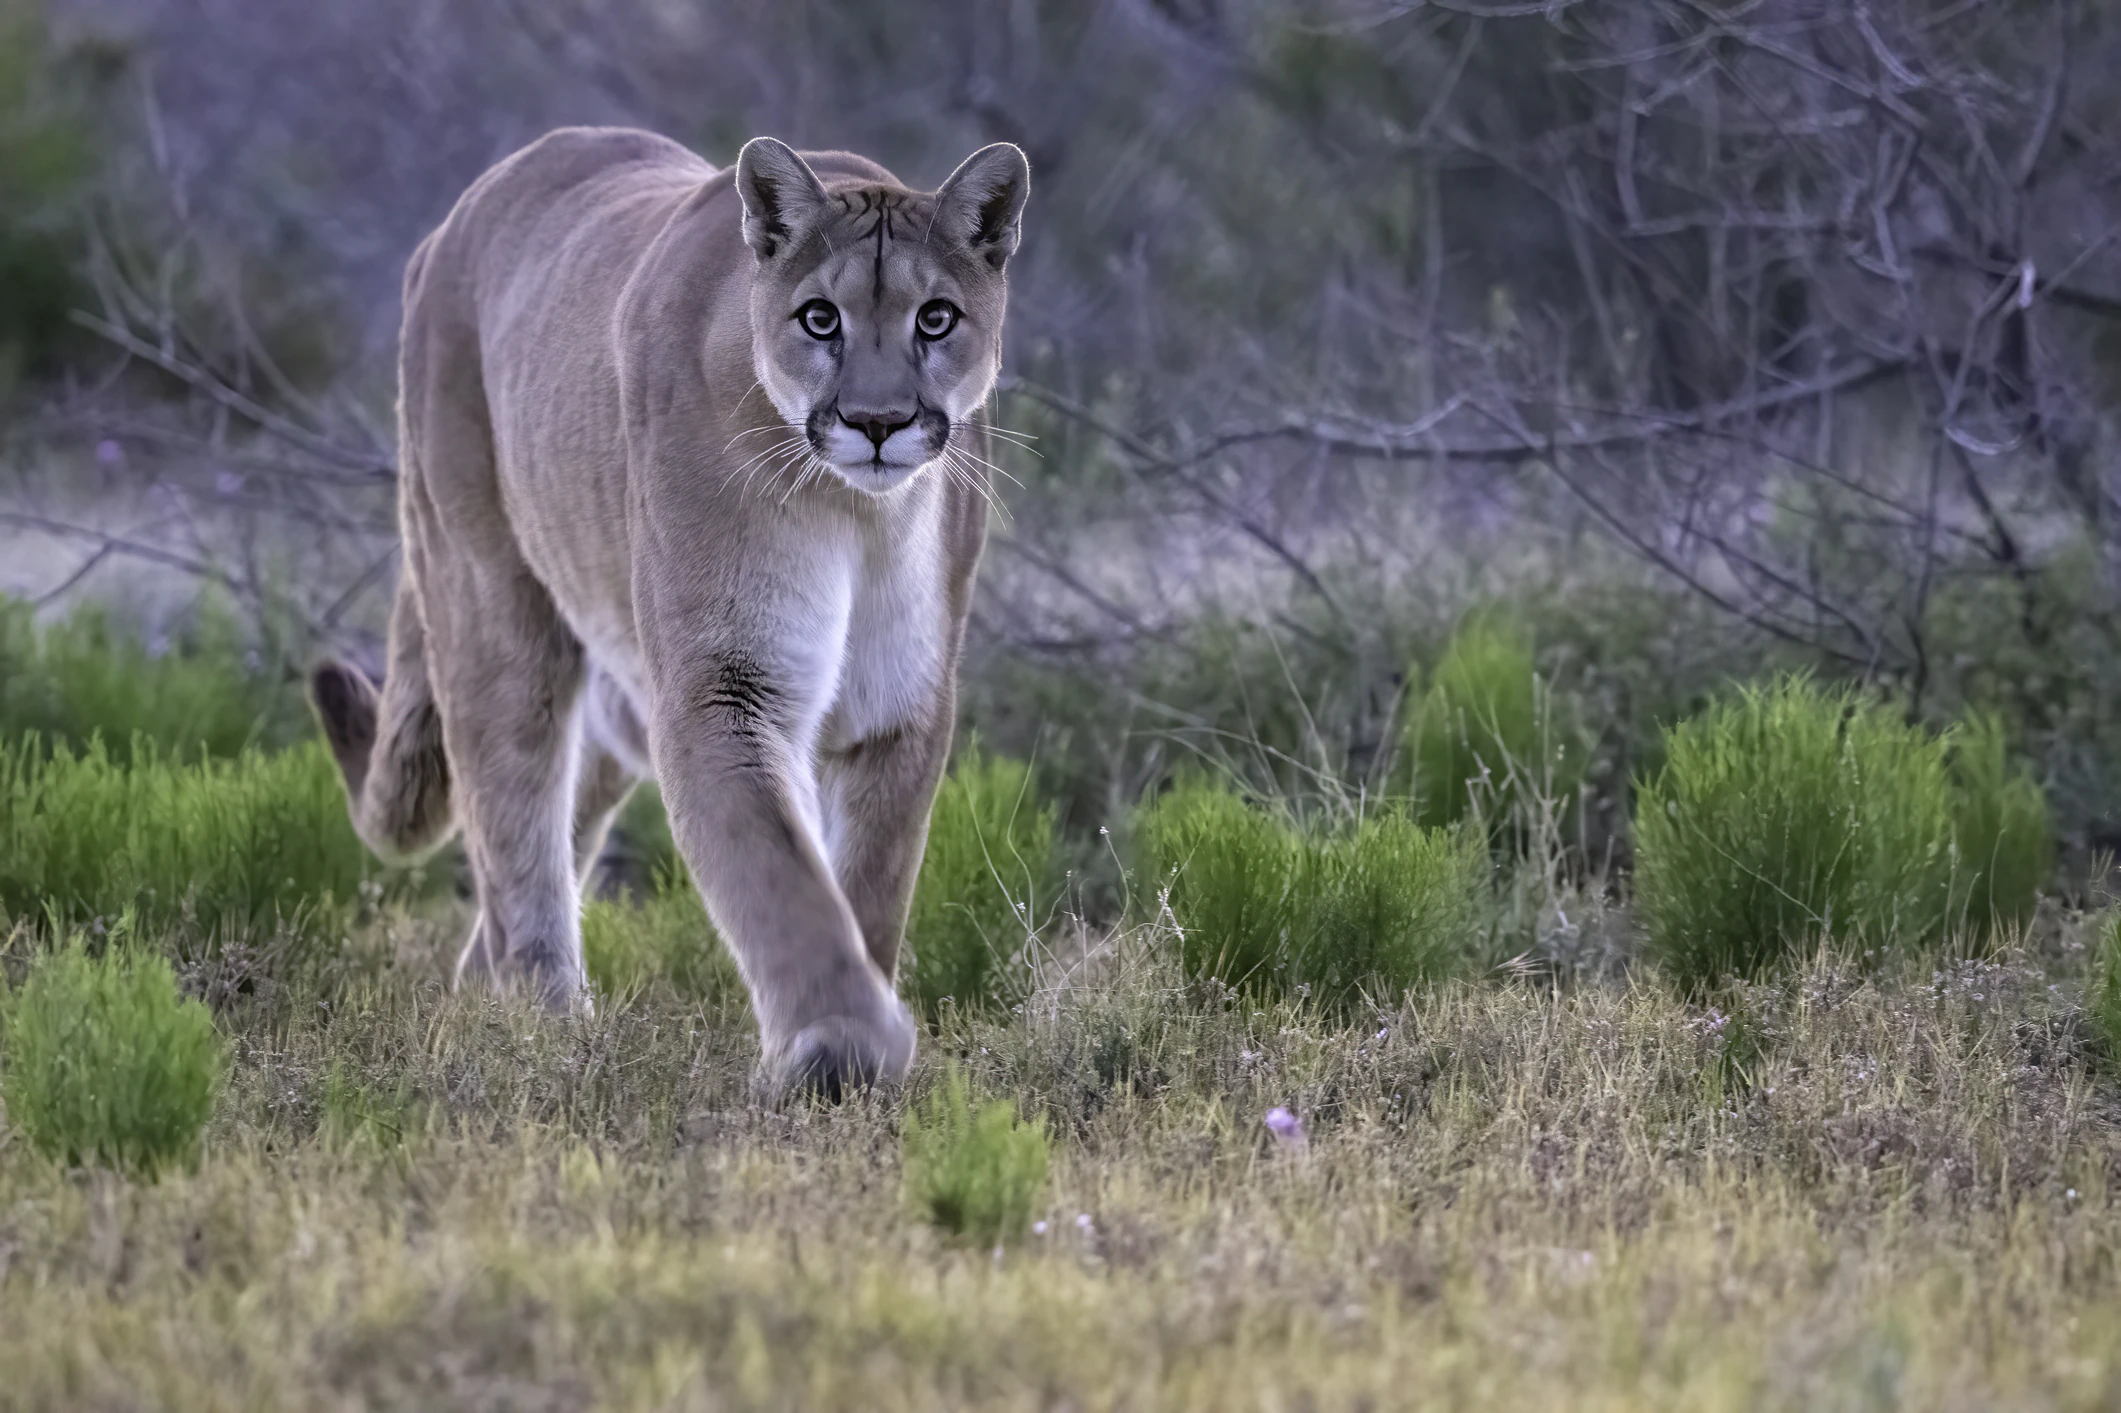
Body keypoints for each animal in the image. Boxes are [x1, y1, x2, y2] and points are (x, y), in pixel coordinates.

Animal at [309, 127, 1029, 1096]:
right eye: (820, 319)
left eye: (936, 318)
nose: (877, 421)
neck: (854, 512)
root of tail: (466, 208)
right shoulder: (723, 687)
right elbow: (781, 877)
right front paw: (841, 1046)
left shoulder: (898, 705)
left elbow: (870, 882)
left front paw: (854, 1056)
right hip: (491, 603)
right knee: (514, 822)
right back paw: (544, 1023)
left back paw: (485, 995)